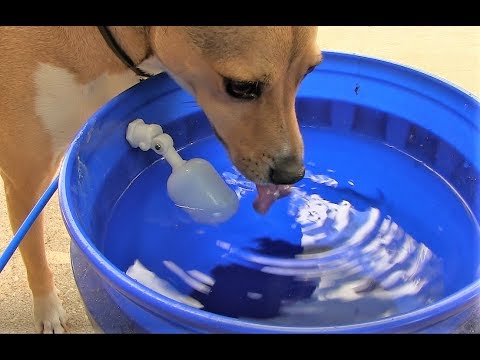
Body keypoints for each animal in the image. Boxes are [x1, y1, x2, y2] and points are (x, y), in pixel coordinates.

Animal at [0, 26, 322, 334]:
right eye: (241, 87)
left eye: (310, 71)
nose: (293, 174)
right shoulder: (24, 183)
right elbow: (32, 250)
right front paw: (48, 309)